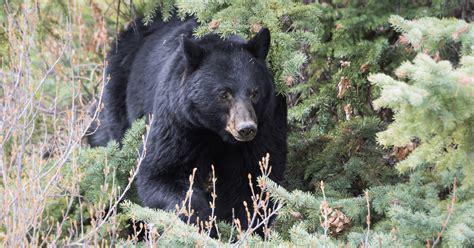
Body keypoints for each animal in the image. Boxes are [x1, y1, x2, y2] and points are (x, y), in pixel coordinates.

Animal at [88, 14, 286, 233]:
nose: (246, 128)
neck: (215, 132)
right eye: (224, 94)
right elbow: (163, 172)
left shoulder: (266, 122)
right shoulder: (179, 121)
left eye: (255, 93)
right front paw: (199, 221)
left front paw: (242, 228)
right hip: (118, 94)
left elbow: (252, 180)